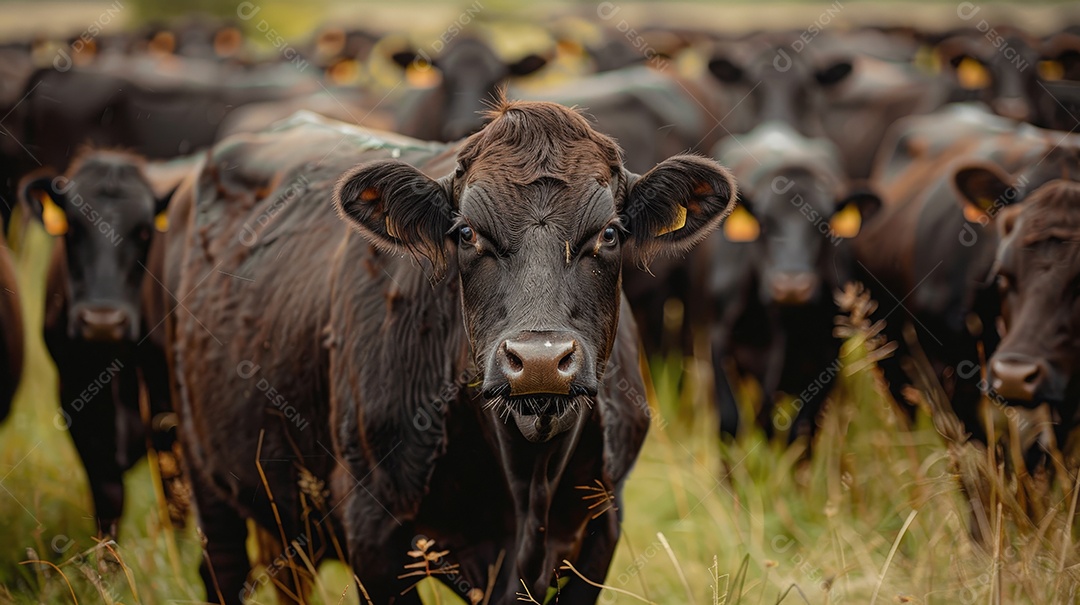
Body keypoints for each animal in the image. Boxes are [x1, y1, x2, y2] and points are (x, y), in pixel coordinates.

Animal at [19, 149, 193, 537]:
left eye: (143, 231)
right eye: (72, 229)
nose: (103, 321)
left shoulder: (167, 404)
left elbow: (174, 494)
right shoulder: (75, 397)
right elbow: (108, 494)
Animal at [168, 103, 735, 604]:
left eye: (610, 233)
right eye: (466, 234)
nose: (539, 361)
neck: (529, 480)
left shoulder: (600, 526)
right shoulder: (372, 529)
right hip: (204, 471)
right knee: (221, 568)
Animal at [693, 122, 879, 442]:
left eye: (824, 225)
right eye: (765, 224)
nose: (791, 286)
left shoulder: (828, 356)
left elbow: (802, 430)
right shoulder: (718, 339)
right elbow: (730, 422)